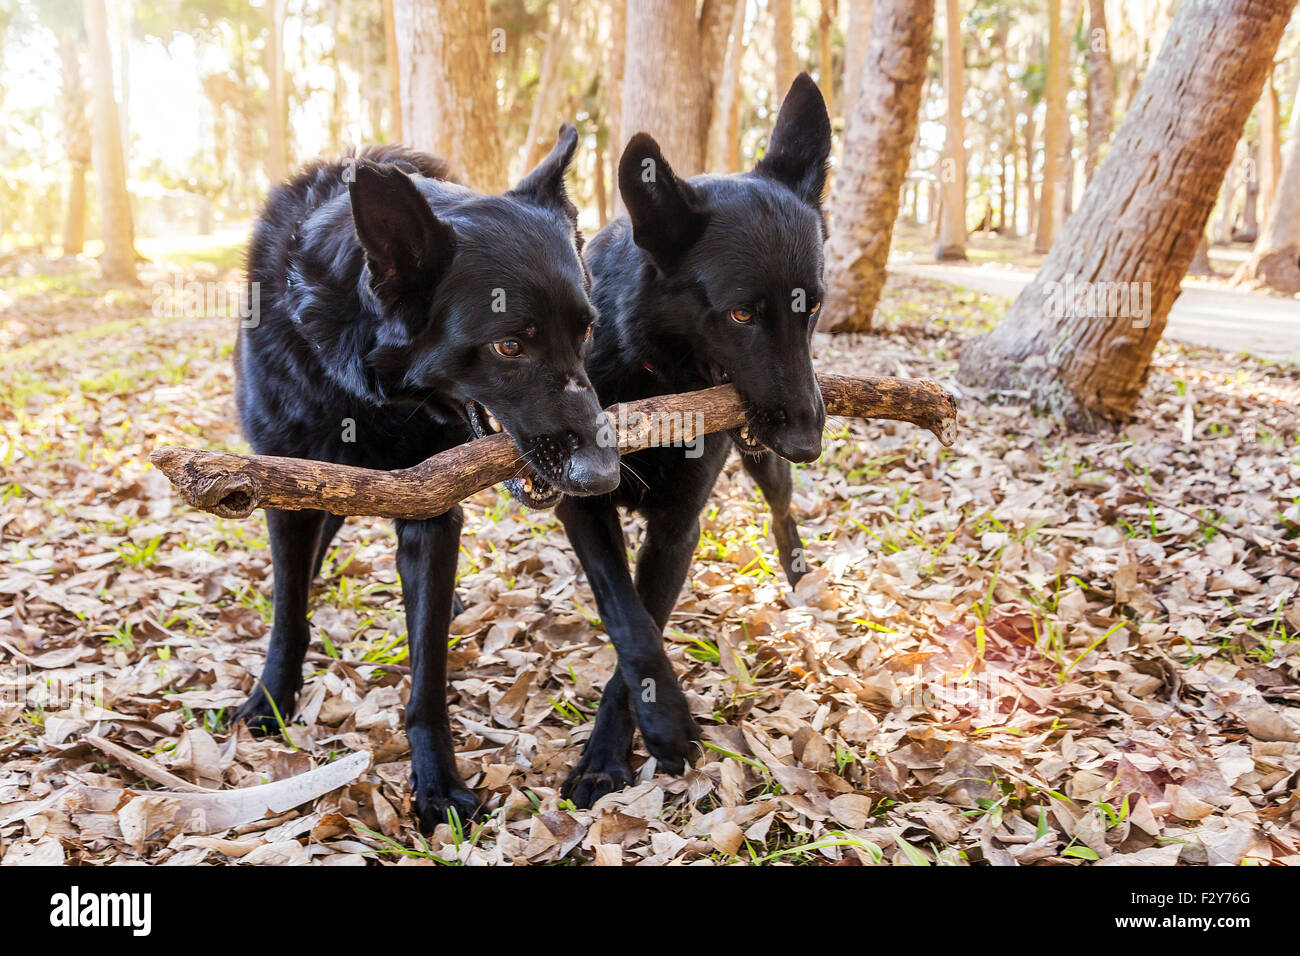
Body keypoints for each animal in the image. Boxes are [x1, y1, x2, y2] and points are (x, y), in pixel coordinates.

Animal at [236, 127, 621, 832]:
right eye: (509, 346)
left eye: (586, 331)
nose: (602, 477)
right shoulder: (287, 492)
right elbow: (287, 611)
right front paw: (271, 701)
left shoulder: (430, 514)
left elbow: (428, 671)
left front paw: (437, 781)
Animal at [559, 74, 832, 806]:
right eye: (740, 314)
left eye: (814, 306)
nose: (808, 441)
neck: (654, 371)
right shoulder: (581, 505)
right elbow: (628, 618)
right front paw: (650, 730)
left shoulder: (678, 527)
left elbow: (644, 624)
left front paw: (618, 747)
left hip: (761, 458)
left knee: (781, 509)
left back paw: (798, 572)